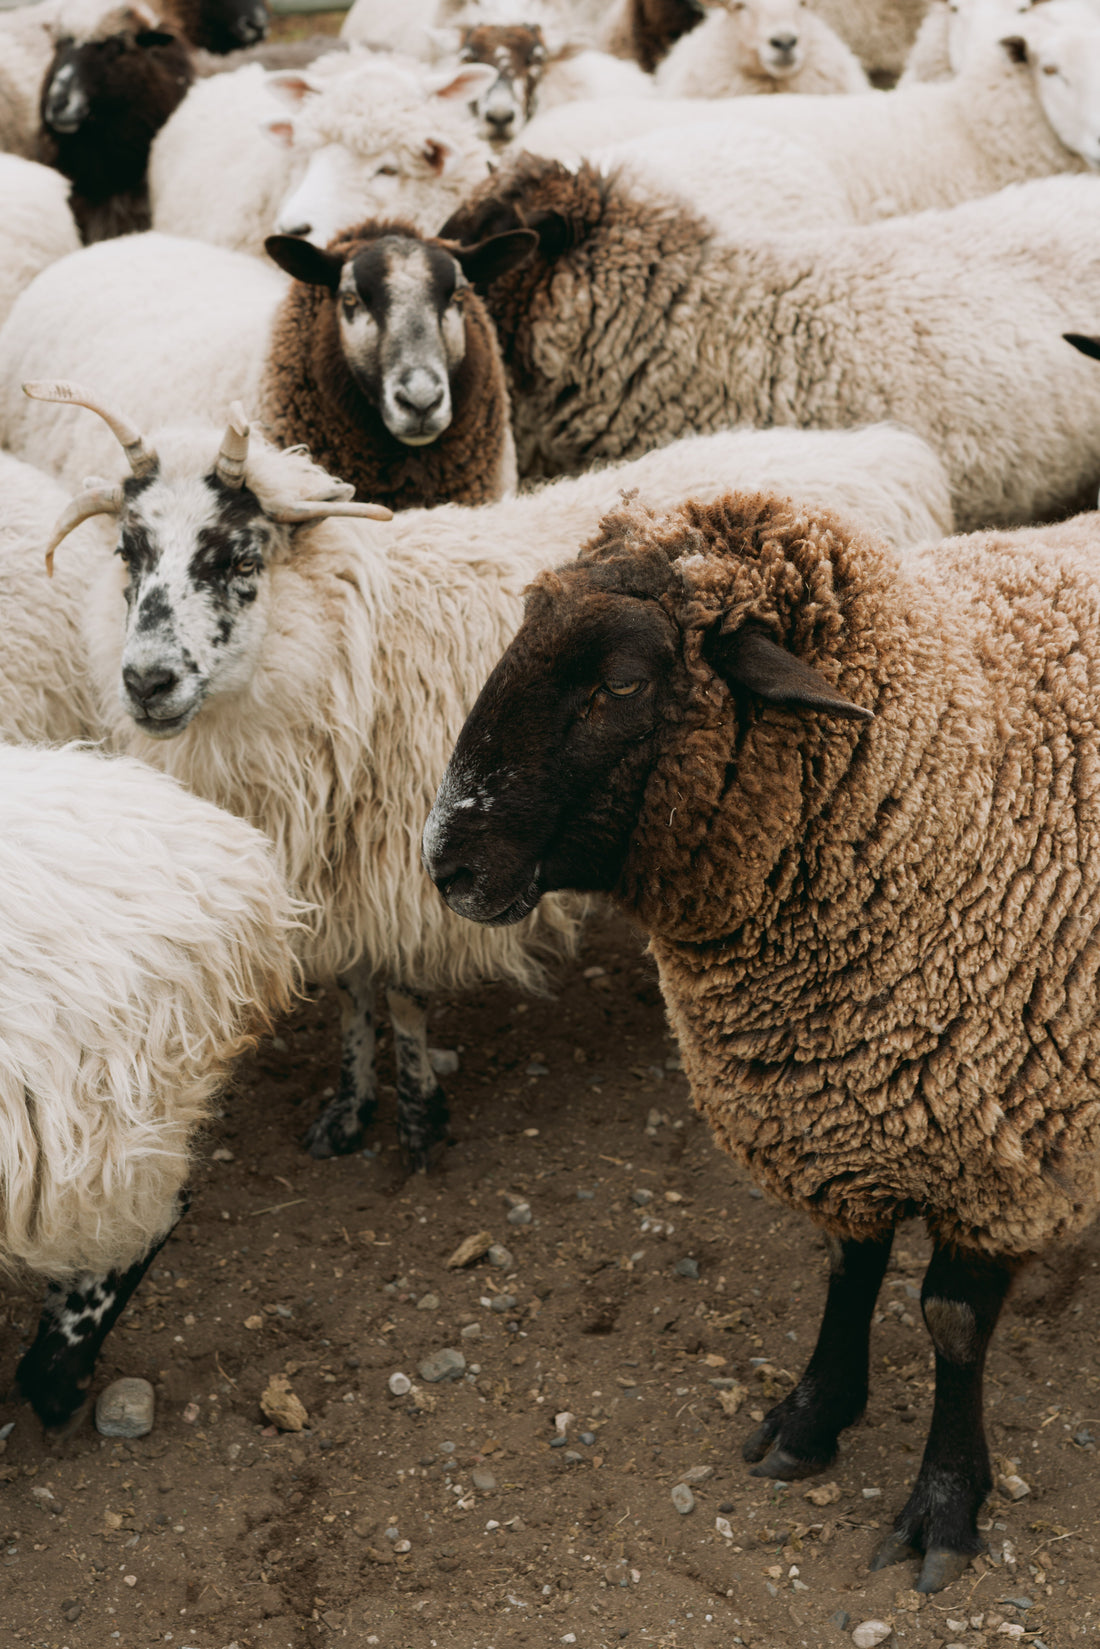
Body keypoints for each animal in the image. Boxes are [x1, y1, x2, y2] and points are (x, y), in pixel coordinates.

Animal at [34, 384, 952, 1165]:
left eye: (235, 558)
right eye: (127, 551)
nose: (147, 681)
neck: (347, 641)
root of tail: (884, 450)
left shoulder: (408, 870)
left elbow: (403, 997)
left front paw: (416, 1116)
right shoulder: (343, 874)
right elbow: (354, 996)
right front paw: (349, 1106)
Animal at [422, 487, 1100, 1594]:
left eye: (620, 679)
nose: (448, 862)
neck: (945, 776)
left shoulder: (999, 1148)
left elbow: (951, 1324)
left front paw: (945, 1505)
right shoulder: (839, 1113)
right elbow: (846, 1269)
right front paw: (810, 1418)